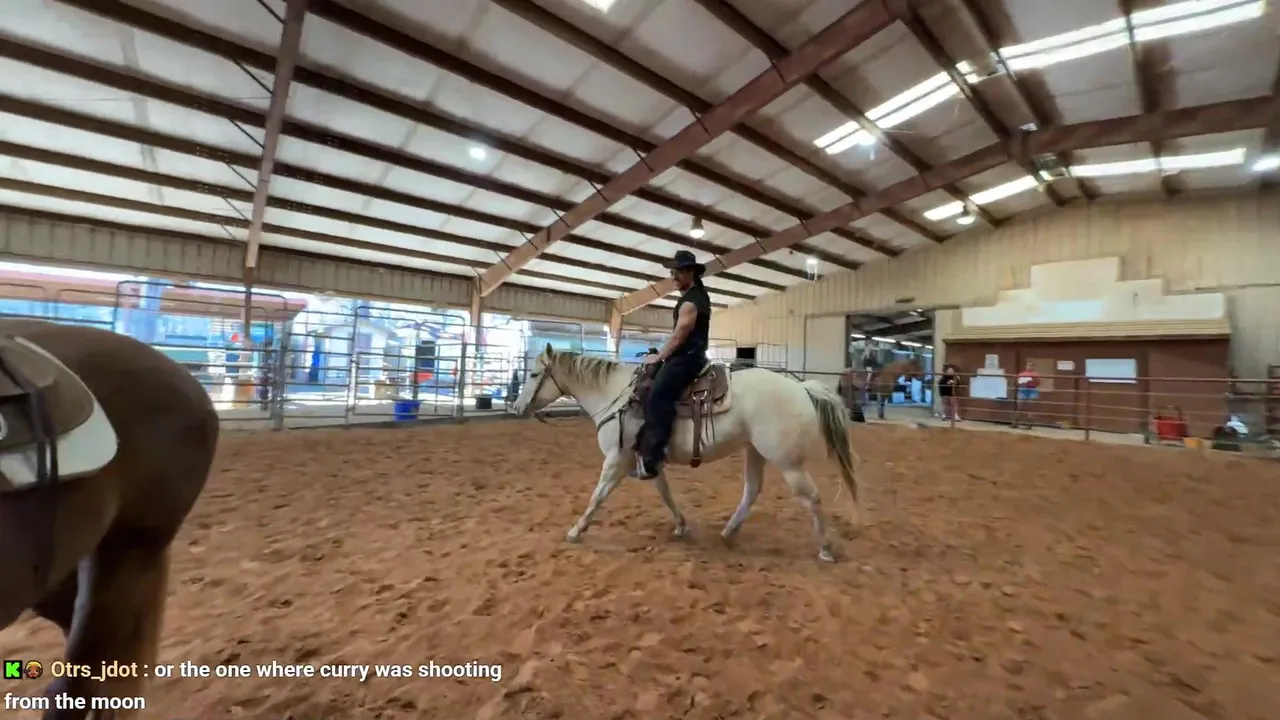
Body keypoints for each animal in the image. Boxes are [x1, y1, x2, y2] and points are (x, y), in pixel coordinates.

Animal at [511, 344, 860, 563]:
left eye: (533, 374)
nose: (516, 406)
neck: (615, 396)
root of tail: (801, 388)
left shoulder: (616, 460)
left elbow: (597, 496)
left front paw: (575, 530)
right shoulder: (647, 459)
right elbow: (665, 493)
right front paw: (680, 525)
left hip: (787, 462)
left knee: (811, 498)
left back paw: (826, 549)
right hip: (755, 451)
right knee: (752, 491)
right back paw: (729, 531)